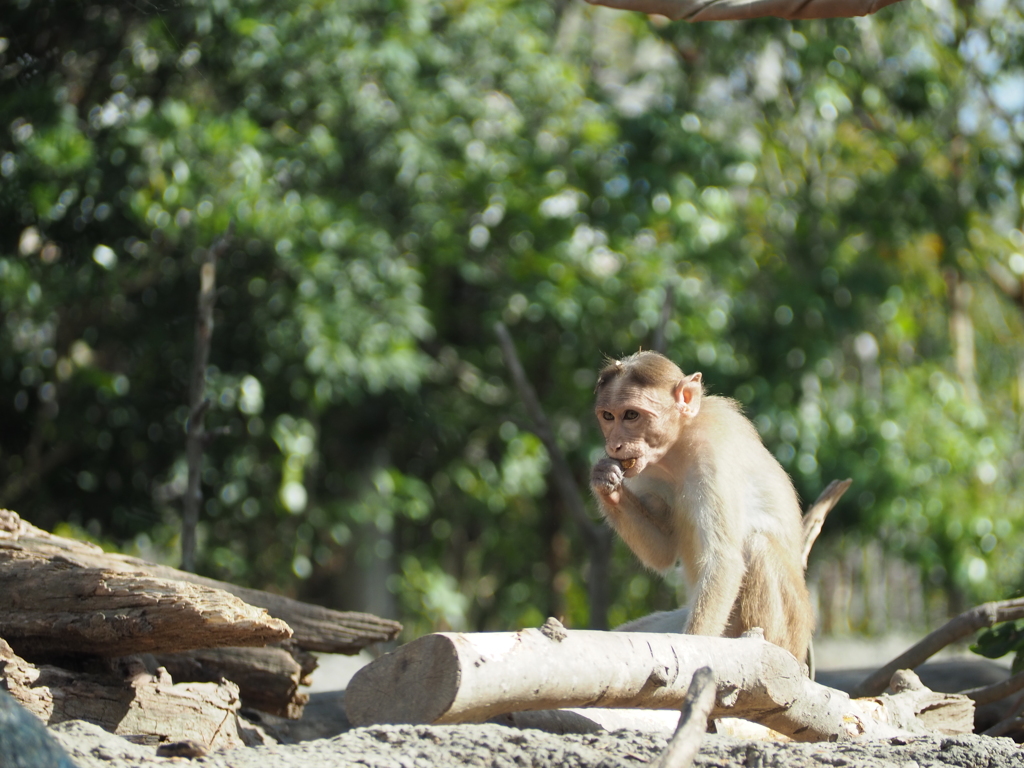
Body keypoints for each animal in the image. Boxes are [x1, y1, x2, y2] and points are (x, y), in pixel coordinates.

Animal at [589, 352, 811, 663]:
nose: (615, 445)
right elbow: (663, 552)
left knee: (758, 547)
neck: (677, 446)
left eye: (631, 415)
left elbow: (723, 560)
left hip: (791, 630)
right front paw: (605, 480)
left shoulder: (713, 457)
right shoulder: (647, 472)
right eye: (608, 416)